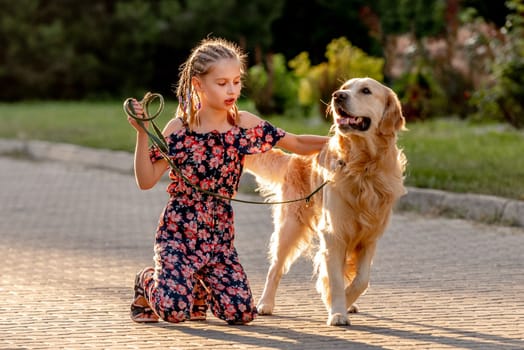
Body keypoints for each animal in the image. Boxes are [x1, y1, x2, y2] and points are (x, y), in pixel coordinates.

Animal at [244, 78, 408, 326]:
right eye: (346, 87)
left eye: (366, 91)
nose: (337, 95)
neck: (363, 166)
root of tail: (294, 157)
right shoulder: (334, 232)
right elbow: (337, 280)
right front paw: (337, 311)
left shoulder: (370, 236)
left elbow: (362, 279)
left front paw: (344, 302)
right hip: (291, 224)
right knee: (275, 267)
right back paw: (265, 304)